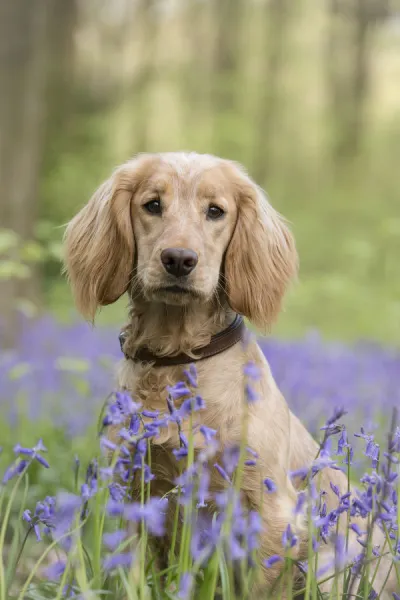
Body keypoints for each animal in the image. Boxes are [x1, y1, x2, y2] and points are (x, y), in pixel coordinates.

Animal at [63, 152, 396, 596]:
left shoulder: (270, 512)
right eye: (152, 204)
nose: (179, 259)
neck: (179, 359)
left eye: (215, 211)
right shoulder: (136, 493)